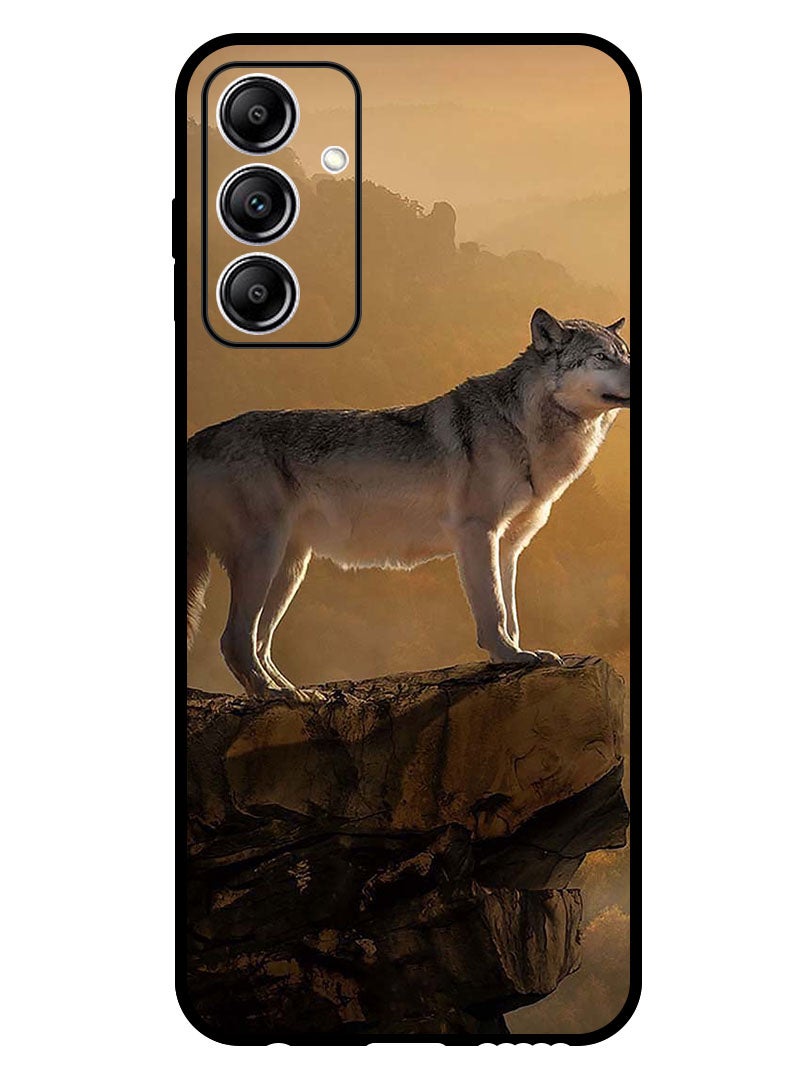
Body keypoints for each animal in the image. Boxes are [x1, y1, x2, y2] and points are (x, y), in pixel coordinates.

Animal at [187, 308, 630, 699]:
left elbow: (513, 613)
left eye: (625, 353)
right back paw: (276, 695)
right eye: (601, 357)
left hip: (290, 568)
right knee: (234, 639)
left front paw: (518, 653)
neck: (524, 428)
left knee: (259, 642)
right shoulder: (476, 533)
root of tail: (197, 439)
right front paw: (508, 656)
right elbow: (494, 610)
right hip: (264, 558)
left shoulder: (508, 546)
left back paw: (294, 691)